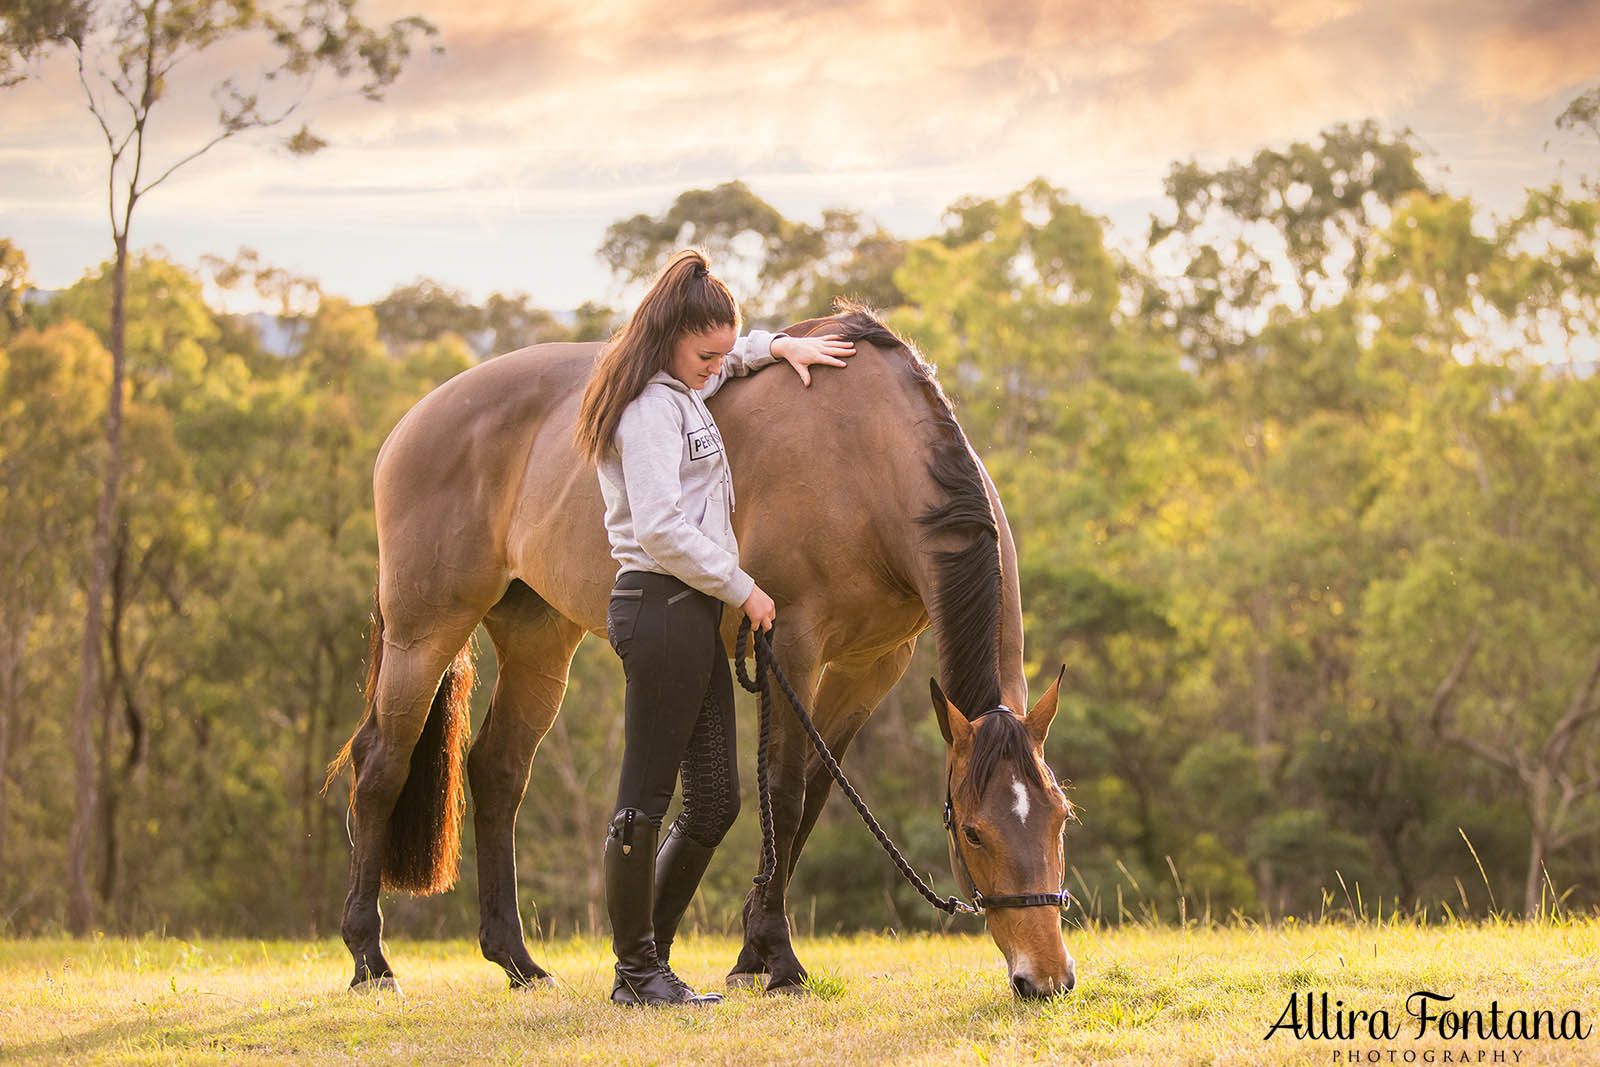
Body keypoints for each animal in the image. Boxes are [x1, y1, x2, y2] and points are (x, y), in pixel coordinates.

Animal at [328, 308, 1075, 1004]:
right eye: (973, 833)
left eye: (1060, 817)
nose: (1045, 978)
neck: (866, 454)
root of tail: (413, 421)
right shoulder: (793, 644)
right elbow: (785, 792)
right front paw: (779, 959)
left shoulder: (873, 665)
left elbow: (814, 794)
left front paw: (750, 953)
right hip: (424, 633)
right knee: (381, 766)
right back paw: (372, 960)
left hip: (539, 641)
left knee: (499, 771)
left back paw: (518, 962)